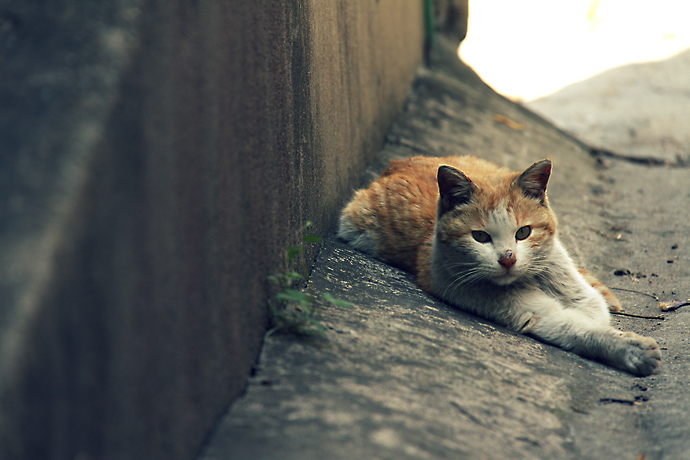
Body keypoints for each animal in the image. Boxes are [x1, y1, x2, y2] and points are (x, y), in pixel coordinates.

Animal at [338, 156, 660, 376]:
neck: (531, 279)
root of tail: (397, 162)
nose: (508, 258)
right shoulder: (535, 313)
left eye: (523, 232)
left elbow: (593, 315)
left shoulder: (583, 299)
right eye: (480, 237)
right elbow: (582, 330)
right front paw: (632, 350)